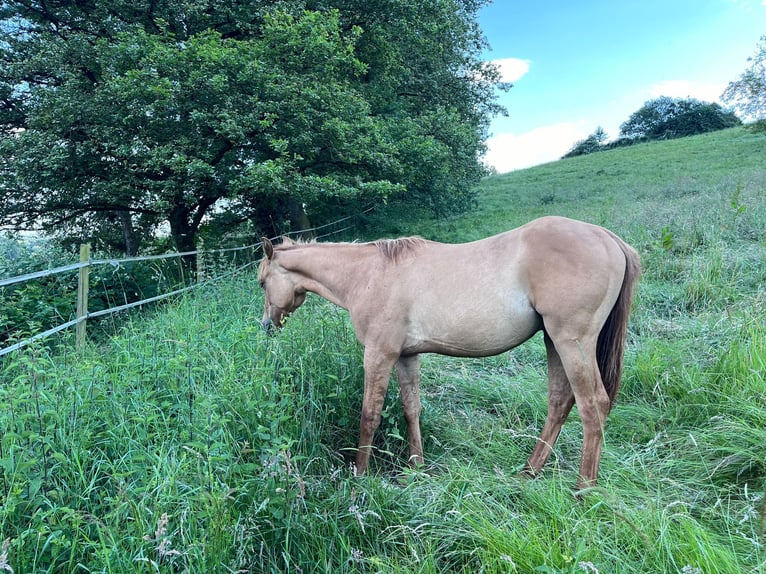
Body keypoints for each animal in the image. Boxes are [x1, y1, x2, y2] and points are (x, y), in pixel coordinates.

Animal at [260, 216, 640, 490]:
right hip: (554, 342)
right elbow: (411, 408)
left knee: (592, 405)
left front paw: (359, 474)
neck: (368, 275)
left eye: (262, 282)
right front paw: (416, 467)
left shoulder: (379, 354)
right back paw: (529, 472)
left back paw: (583, 489)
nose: (266, 325)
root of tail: (608, 238)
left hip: (571, 342)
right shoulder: (405, 356)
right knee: (560, 402)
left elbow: (370, 414)